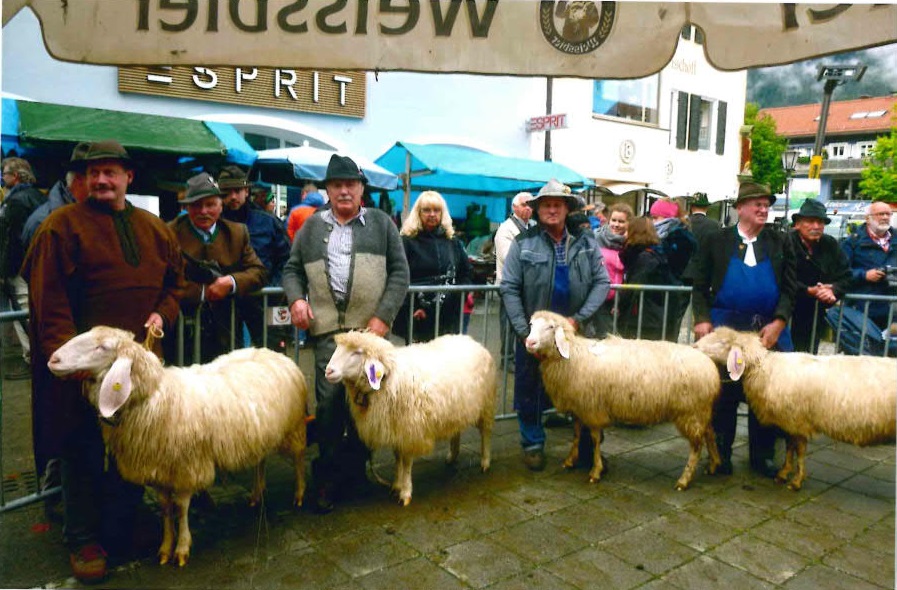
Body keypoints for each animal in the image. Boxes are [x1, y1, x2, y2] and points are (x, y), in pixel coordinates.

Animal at [48, 328, 308, 568]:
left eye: (102, 347)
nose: (53, 359)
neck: (154, 397)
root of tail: (272, 352)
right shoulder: (158, 469)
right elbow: (165, 508)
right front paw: (165, 547)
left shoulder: (187, 467)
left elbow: (181, 509)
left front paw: (182, 548)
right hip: (260, 432)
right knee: (260, 461)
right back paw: (256, 493)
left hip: (293, 427)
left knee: (298, 459)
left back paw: (299, 494)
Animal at [326, 332, 496, 508]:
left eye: (357, 352)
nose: (328, 371)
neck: (389, 378)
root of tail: (472, 341)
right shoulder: (396, 428)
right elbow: (397, 458)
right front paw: (396, 484)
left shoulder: (409, 429)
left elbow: (406, 462)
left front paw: (405, 492)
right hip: (457, 409)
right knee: (456, 431)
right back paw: (452, 456)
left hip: (485, 405)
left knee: (486, 433)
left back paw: (485, 462)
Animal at [524, 312, 720, 492]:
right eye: (531, 324)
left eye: (550, 327)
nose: (529, 342)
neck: (573, 356)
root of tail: (710, 367)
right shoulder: (579, 406)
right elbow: (577, 434)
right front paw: (570, 460)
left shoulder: (592, 408)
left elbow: (595, 439)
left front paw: (596, 471)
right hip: (701, 411)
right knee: (710, 433)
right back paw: (714, 464)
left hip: (690, 412)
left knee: (696, 446)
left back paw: (684, 480)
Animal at [692, 328, 896, 490]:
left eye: (723, 342)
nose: (694, 346)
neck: (764, 368)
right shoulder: (789, 421)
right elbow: (790, 448)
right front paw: (784, 473)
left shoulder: (798, 420)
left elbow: (800, 450)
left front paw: (796, 481)